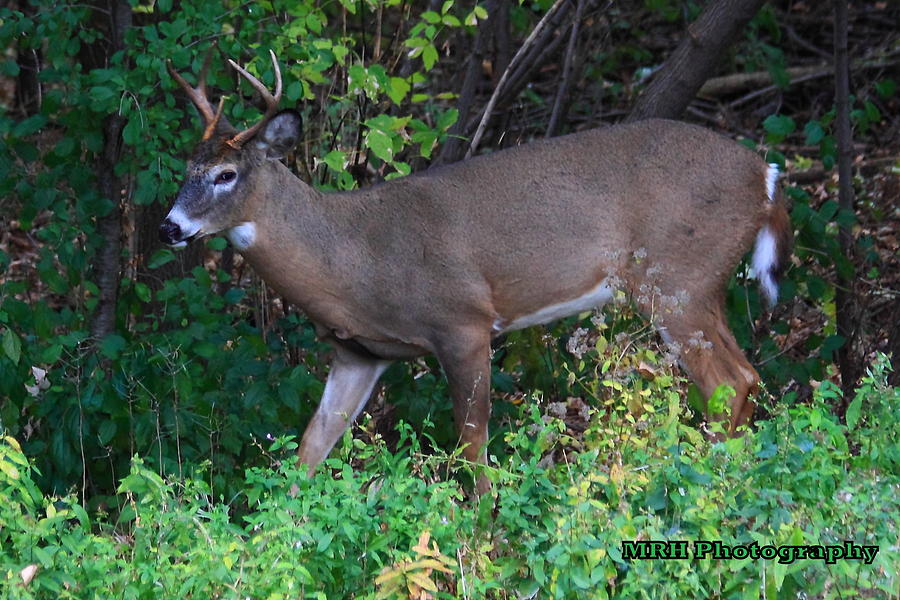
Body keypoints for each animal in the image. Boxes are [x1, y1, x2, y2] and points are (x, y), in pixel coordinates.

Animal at [162, 51, 796, 492]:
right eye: (186, 167)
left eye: (225, 174)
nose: (169, 226)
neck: (354, 260)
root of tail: (765, 177)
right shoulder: (358, 353)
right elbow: (308, 454)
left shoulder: (462, 322)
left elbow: (472, 451)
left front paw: (482, 545)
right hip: (696, 285)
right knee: (745, 378)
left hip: (677, 278)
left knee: (729, 383)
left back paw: (708, 489)